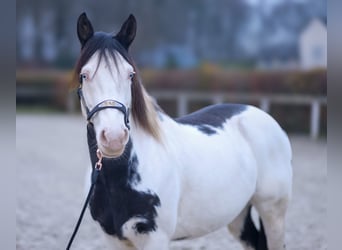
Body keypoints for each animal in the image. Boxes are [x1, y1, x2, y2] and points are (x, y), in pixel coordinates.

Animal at [75, 13, 292, 250]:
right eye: (84, 75)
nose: (114, 137)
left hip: (273, 213)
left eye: (130, 74)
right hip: (239, 215)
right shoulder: (113, 239)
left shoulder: (156, 239)